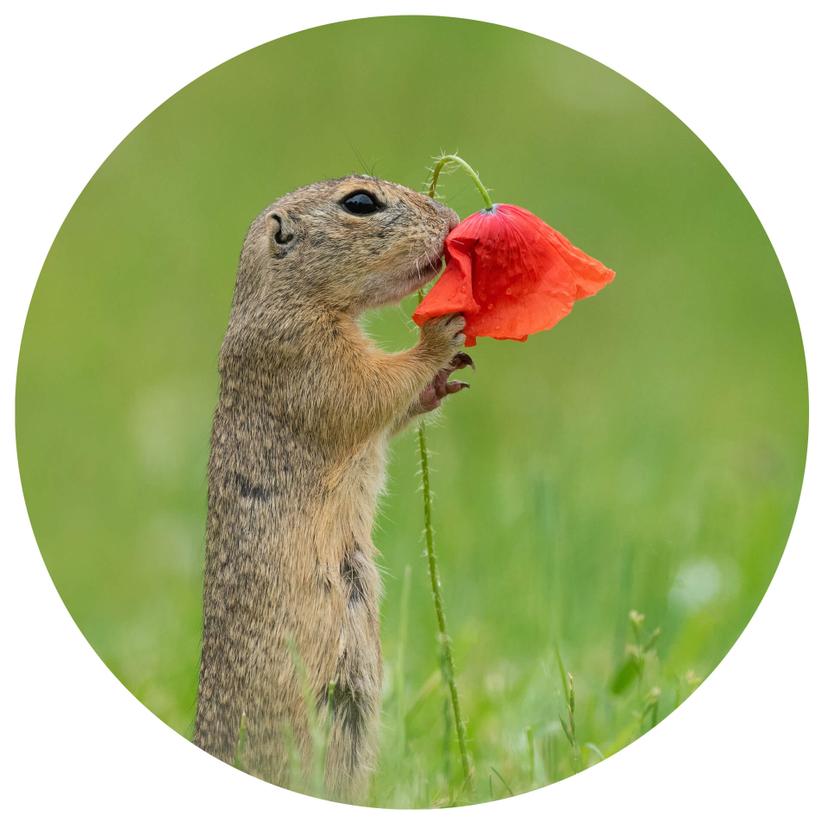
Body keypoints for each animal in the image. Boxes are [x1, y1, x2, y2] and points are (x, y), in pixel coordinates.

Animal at [193, 176, 472, 799]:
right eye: (360, 203)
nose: (451, 218)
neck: (288, 298)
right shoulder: (304, 356)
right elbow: (369, 390)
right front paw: (440, 335)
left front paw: (445, 378)